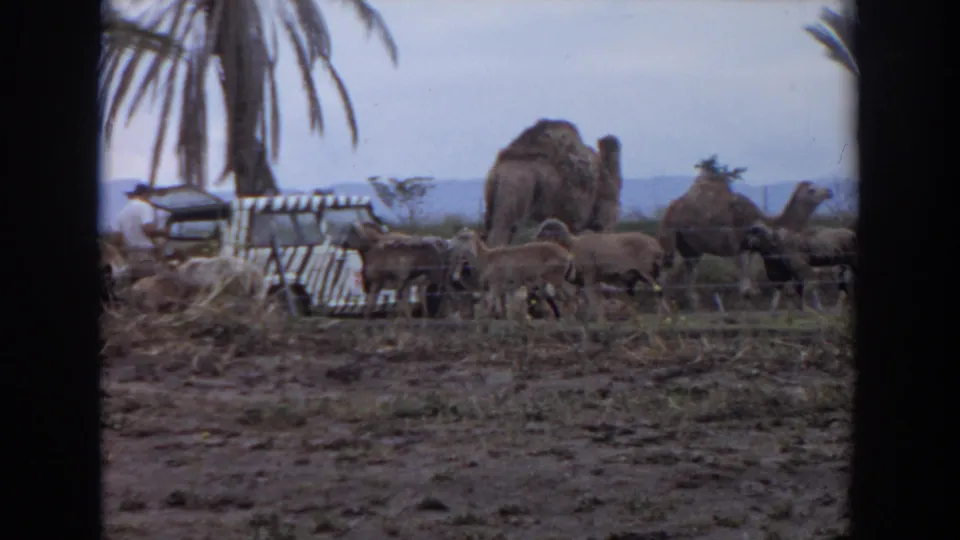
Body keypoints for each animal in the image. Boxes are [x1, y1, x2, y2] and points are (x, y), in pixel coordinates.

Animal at [448, 228, 577, 320]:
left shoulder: (496, 286)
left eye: (462, 237)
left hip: (554, 278)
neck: (486, 258)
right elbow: (508, 309)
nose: (448, 244)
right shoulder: (509, 289)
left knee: (569, 293)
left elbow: (491, 303)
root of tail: (568, 256)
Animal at [533, 218, 671, 321]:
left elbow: (593, 301)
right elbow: (577, 302)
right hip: (640, 277)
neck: (573, 247)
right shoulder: (582, 283)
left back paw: (661, 316)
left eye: (544, 232)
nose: (535, 240)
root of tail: (657, 247)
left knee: (658, 292)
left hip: (647, 273)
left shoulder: (589, 279)